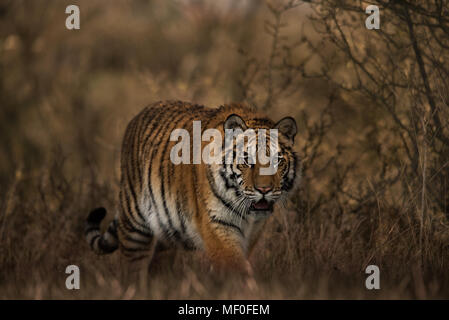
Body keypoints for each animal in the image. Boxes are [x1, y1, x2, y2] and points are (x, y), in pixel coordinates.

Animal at [85, 99, 300, 280]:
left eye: (277, 161)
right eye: (248, 161)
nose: (264, 189)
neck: (248, 215)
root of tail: (138, 115)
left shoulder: (253, 232)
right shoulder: (218, 227)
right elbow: (236, 267)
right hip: (134, 224)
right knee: (132, 267)